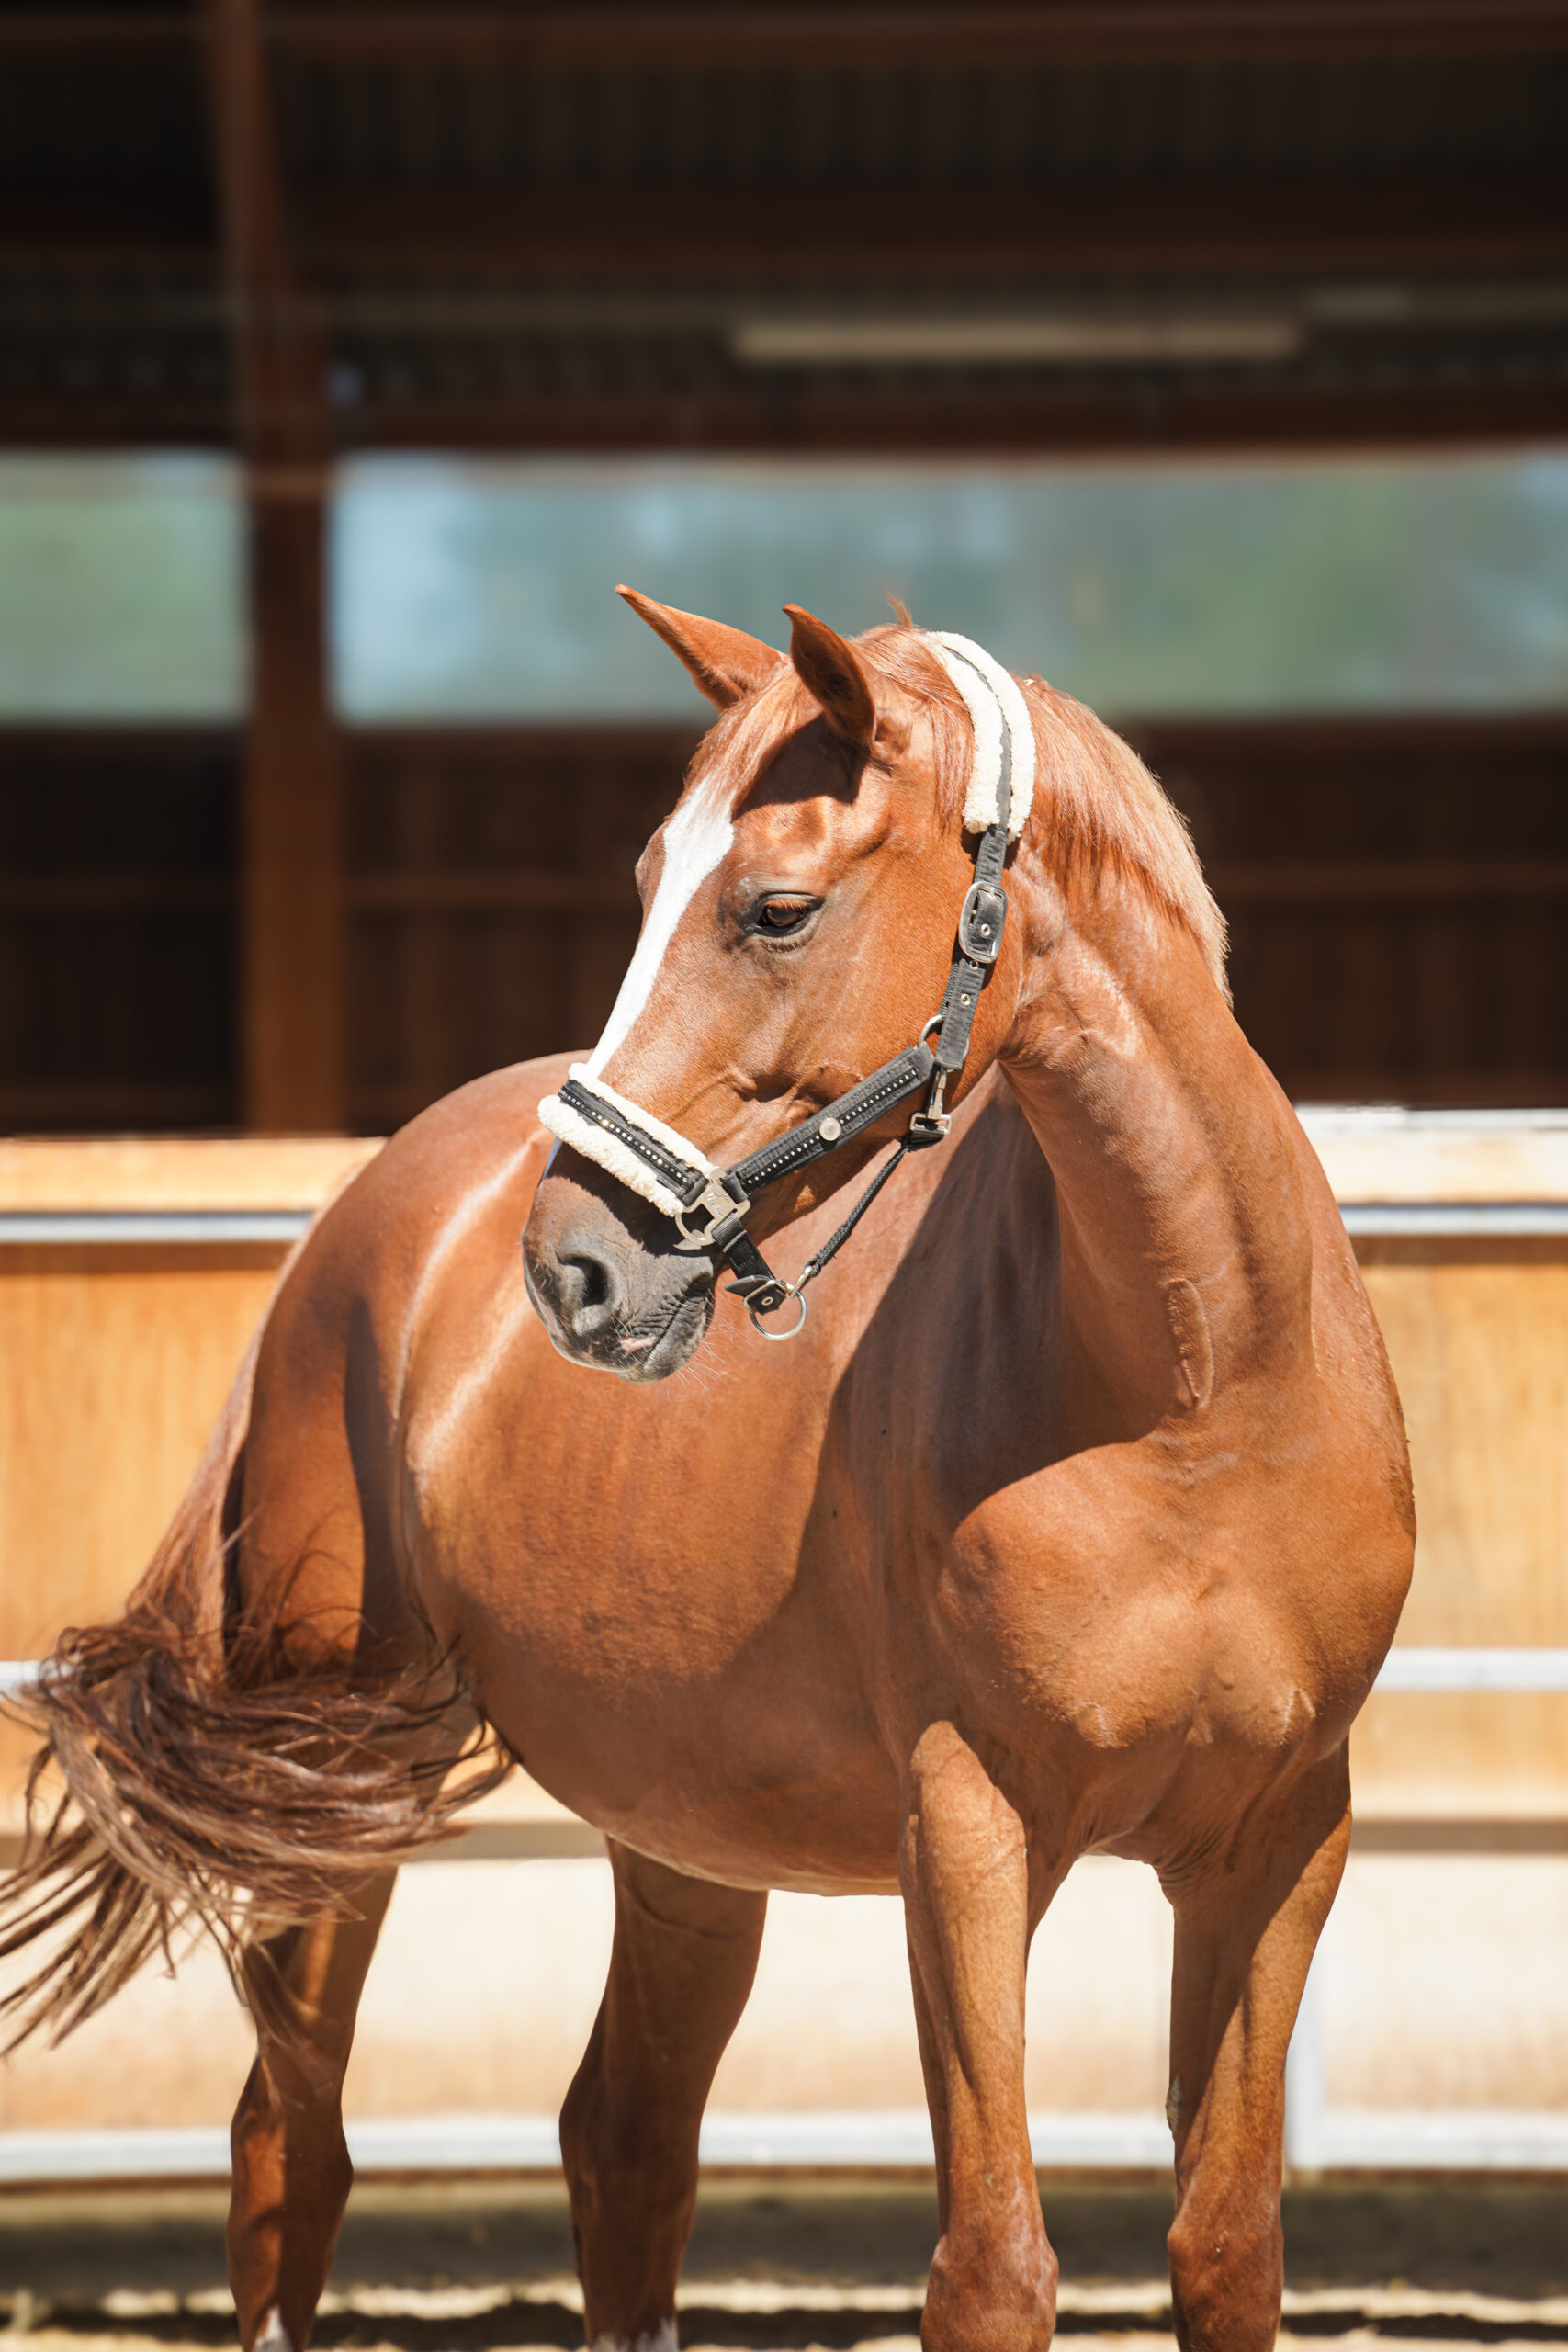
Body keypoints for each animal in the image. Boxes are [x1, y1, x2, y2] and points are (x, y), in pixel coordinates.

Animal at [1, 594, 1413, 2352]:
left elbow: (1224, 2251)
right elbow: (992, 2267)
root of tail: (348, 1230)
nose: (573, 1269)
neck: (1193, 1401)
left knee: (621, 2143)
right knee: (290, 2153)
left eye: (774, 908)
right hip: (336, 1795)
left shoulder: (1276, 1849)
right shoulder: (967, 1836)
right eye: (641, 884)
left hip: (677, 1840)